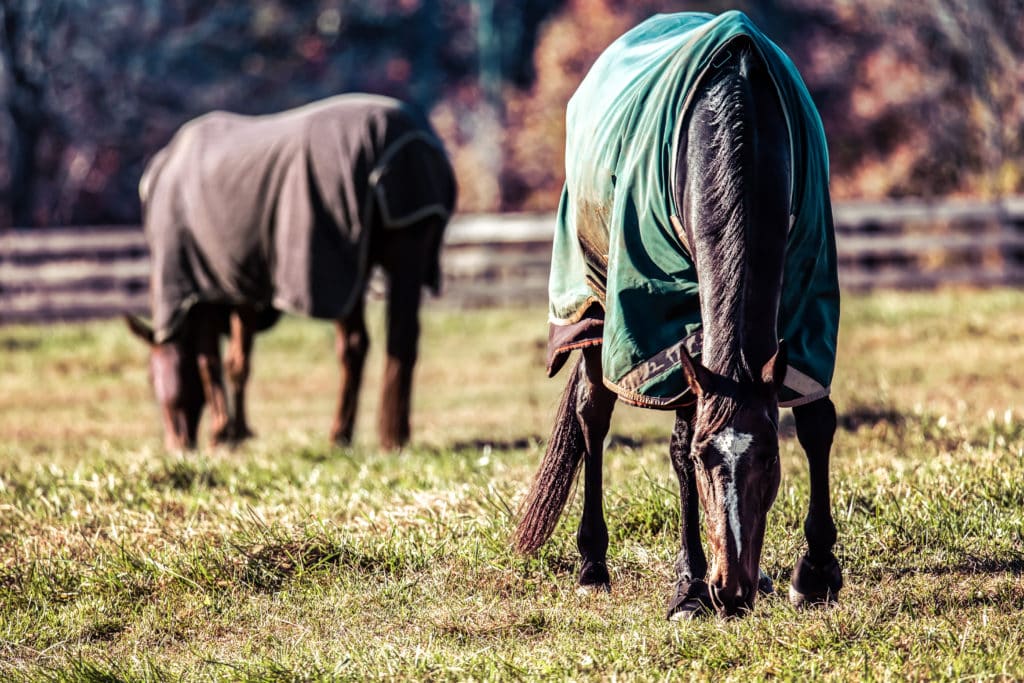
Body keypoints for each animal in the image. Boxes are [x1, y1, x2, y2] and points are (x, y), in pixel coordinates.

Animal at [126, 94, 457, 451]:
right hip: (407, 250)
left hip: (342, 269)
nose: (177, 445)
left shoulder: (200, 292)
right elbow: (238, 362)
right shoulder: (241, 289)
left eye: (149, 378)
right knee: (401, 337)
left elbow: (210, 362)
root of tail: (408, 143)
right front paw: (238, 431)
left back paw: (345, 433)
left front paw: (222, 433)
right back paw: (388, 435)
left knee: (355, 345)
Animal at [514, 12, 842, 618]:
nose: (731, 590)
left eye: (769, 458)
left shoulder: (808, 300)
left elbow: (817, 423)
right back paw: (593, 565)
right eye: (706, 458)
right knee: (592, 416)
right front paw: (689, 586)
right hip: (594, 305)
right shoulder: (662, 321)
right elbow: (677, 439)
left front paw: (816, 574)